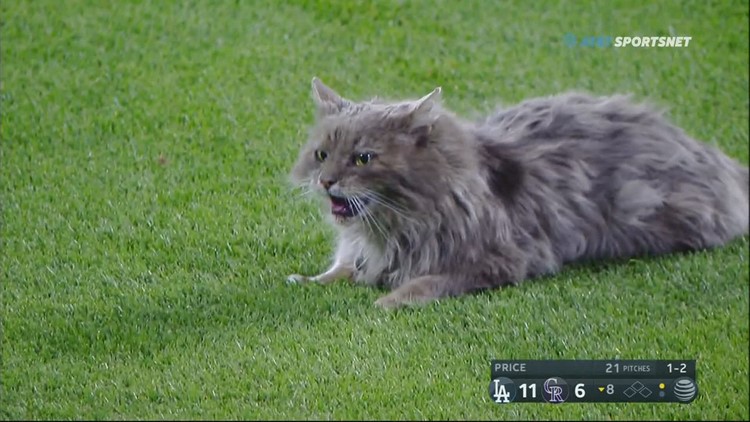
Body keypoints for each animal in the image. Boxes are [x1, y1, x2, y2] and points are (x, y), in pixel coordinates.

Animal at [286, 78, 748, 310]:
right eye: (322, 154)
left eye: (363, 159)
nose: (326, 181)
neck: (392, 228)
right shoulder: (362, 254)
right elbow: (339, 269)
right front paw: (308, 280)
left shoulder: (501, 259)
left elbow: (426, 282)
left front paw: (387, 302)